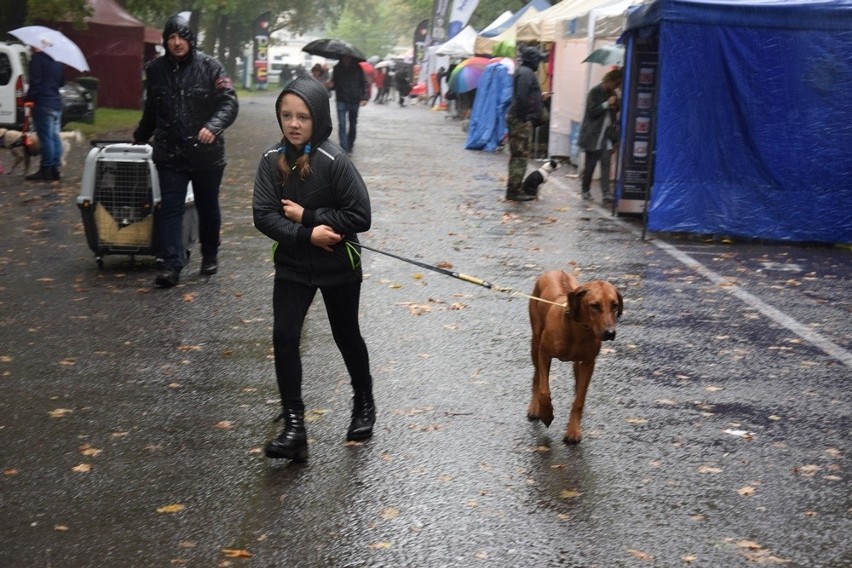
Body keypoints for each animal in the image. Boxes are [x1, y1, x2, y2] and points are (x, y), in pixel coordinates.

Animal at [524, 270, 624, 444]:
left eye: (615, 305)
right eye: (595, 305)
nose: (610, 333)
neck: (577, 330)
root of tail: (555, 270)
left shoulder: (589, 362)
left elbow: (579, 400)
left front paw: (573, 430)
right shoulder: (544, 353)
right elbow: (544, 391)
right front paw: (547, 414)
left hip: (578, 362)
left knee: (577, 385)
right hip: (535, 341)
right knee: (536, 376)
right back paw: (535, 408)